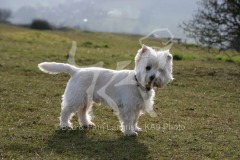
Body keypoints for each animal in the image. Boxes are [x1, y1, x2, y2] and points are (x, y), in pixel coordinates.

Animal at [37, 45, 173, 136]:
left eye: (161, 70)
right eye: (148, 67)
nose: (153, 77)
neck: (138, 83)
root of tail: (76, 71)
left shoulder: (136, 107)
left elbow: (135, 119)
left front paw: (135, 129)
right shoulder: (128, 107)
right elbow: (129, 120)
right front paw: (130, 132)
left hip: (86, 100)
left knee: (82, 112)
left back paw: (86, 124)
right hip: (76, 98)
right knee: (65, 111)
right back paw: (65, 125)